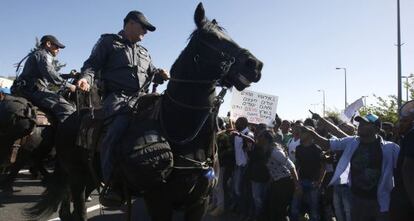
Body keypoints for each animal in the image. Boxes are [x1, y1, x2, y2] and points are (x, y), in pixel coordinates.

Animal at [25, 3, 262, 221]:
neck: (181, 130)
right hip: (76, 177)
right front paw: (82, 81)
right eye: (211, 37)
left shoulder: (198, 203)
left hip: (90, 177)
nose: (255, 64)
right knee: (78, 211)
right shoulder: (158, 201)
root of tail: (69, 118)